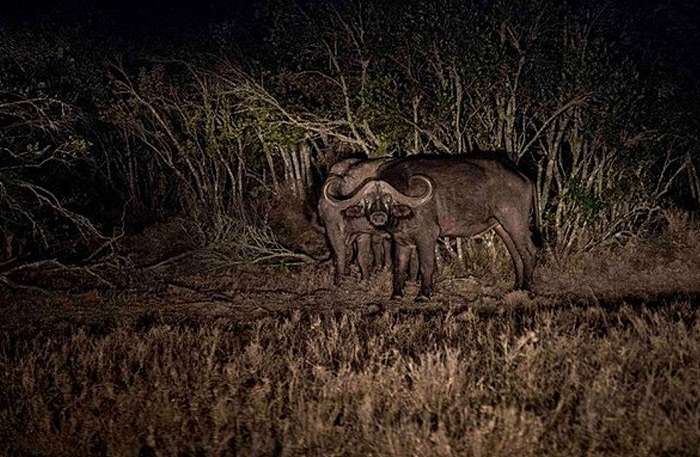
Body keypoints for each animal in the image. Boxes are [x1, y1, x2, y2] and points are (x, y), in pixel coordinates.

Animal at [322, 154, 540, 300]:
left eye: (388, 198)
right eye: (367, 199)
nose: (378, 215)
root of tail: (525, 178)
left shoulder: (427, 237)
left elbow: (426, 265)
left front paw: (423, 294)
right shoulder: (401, 241)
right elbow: (399, 266)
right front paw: (396, 294)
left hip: (514, 220)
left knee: (529, 251)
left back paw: (528, 289)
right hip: (501, 226)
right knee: (516, 254)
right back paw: (516, 288)